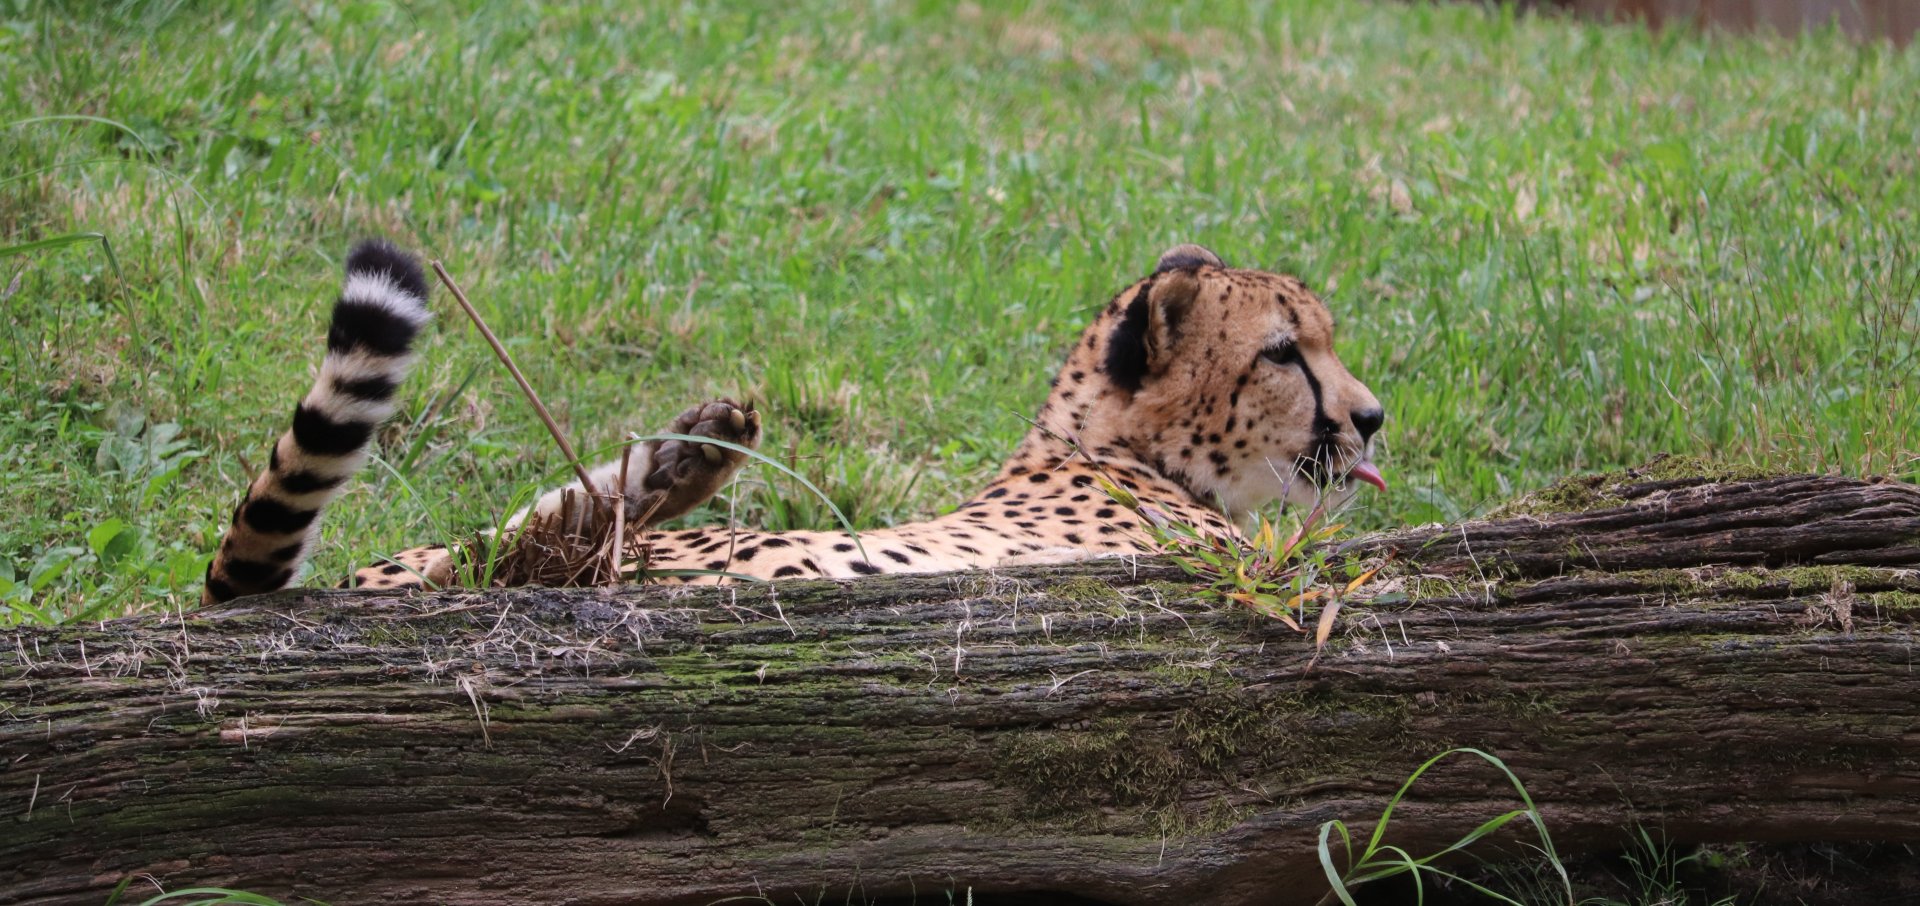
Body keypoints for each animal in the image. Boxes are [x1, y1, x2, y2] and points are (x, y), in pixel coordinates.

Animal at [200, 240, 1385, 604]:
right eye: (1285, 352)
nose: (1372, 419)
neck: (1107, 449)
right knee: (515, 553)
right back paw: (687, 459)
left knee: (519, 543)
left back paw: (688, 449)